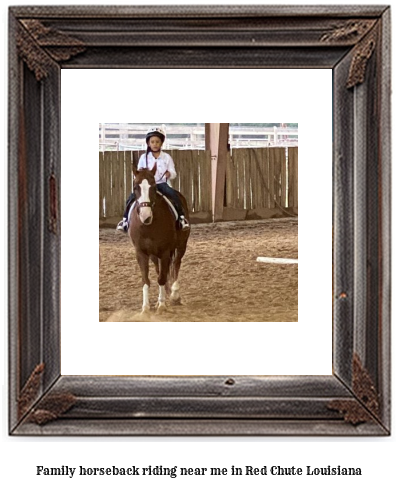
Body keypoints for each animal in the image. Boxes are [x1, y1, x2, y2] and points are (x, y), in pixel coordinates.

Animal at [129, 163, 190, 314]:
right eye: (136, 187)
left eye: (153, 187)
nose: (145, 216)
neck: (148, 225)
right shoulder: (141, 252)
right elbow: (146, 279)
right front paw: (145, 307)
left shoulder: (165, 251)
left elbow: (162, 277)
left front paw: (162, 305)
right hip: (154, 254)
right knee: (159, 269)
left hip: (181, 245)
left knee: (176, 264)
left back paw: (174, 295)